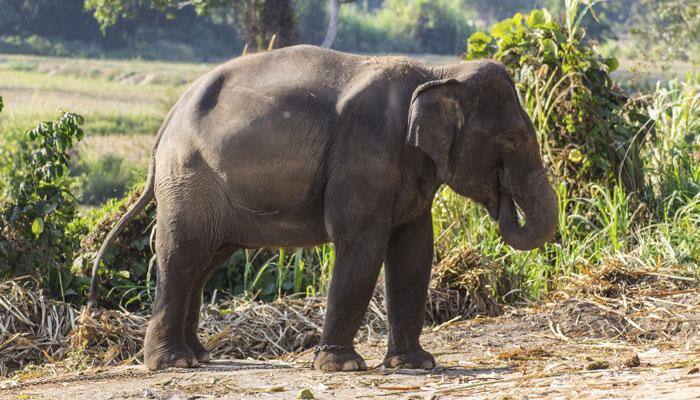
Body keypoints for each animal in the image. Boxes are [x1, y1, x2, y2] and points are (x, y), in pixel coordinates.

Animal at [88, 45, 558, 372]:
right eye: (511, 139)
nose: (501, 204)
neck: (438, 74)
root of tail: (166, 125)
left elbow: (414, 250)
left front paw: (416, 364)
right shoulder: (364, 152)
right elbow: (362, 244)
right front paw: (343, 366)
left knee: (205, 261)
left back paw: (198, 356)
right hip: (188, 180)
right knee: (181, 254)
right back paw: (173, 363)